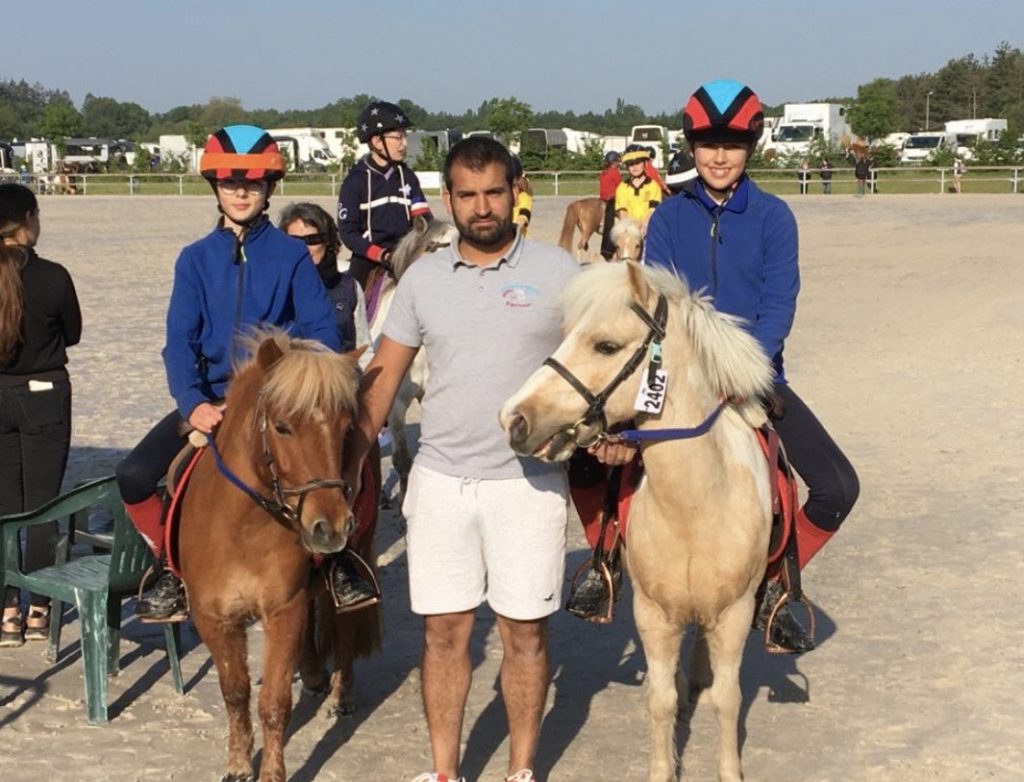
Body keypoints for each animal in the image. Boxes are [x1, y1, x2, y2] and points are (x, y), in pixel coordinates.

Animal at [178, 329, 376, 782]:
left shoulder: (284, 610)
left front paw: (271, 772)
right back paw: (316, 673)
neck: (241, 532)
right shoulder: (214, 618)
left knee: (345, 628)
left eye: (345, 429)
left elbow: (274, 701)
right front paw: (237, 764)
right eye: (283, 427)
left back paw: (341, 695)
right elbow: (235, 692)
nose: (331, 526)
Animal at [499, 262, 775, 782]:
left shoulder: (735, 612)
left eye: (605, 345)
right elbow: (660, 701)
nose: (514, 418)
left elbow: (728, 699)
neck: (694, 508)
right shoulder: (653, 615)